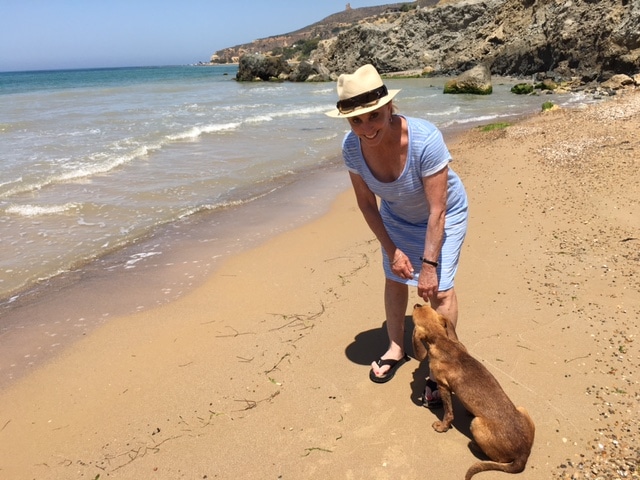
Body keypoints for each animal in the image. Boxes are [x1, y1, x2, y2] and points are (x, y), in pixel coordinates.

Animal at [410, 306, 536, 478]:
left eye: (416, 314)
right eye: (428, 308)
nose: (416, 304)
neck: (443, 341)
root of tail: (523, 455)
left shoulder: (443, 386)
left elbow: (448, 413)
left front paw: (442, 426)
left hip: (476, 424)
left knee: (498, 459)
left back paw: (475, 445)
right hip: (522, 408)